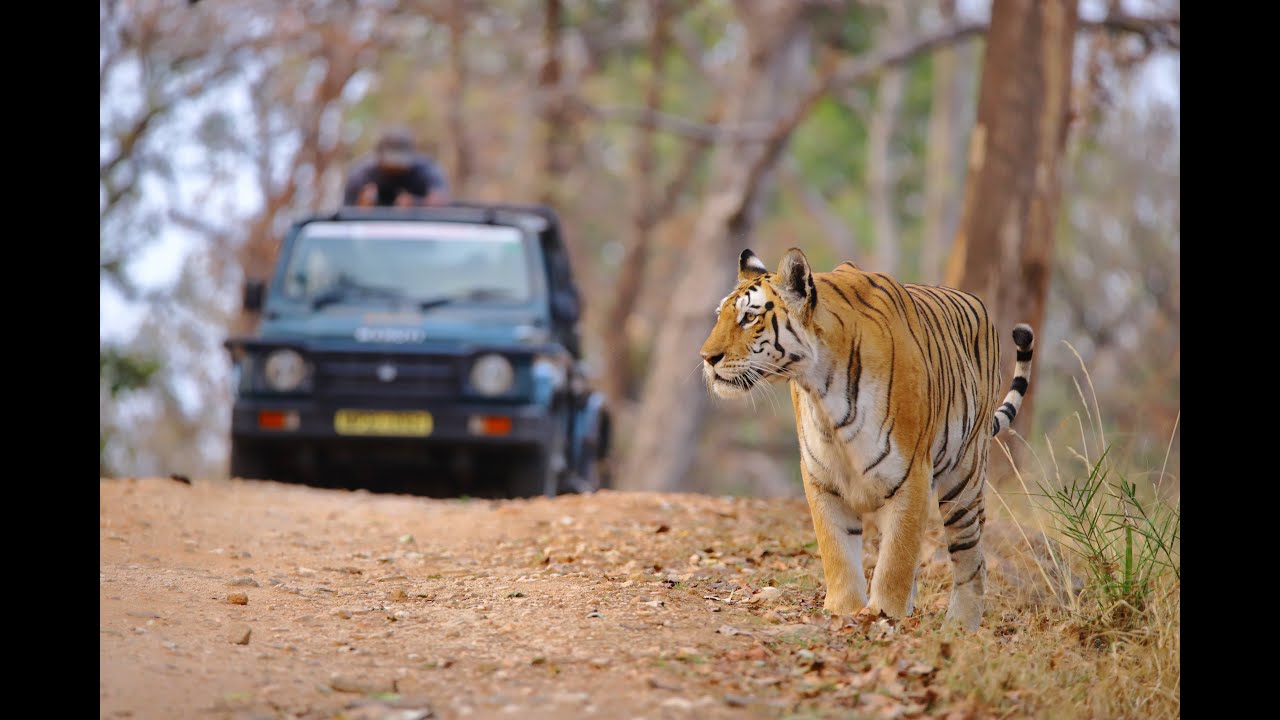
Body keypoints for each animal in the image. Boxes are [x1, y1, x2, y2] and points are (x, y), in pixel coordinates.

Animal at [698, 247, 1034, 630]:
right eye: (721, 316)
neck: (821, 391)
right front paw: (843, 610)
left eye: (749, 318)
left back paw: (961, 625)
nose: (707, 358)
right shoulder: (822, 478)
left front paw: (883, 614)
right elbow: (838, 550)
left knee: (970, 557)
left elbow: (896, 559)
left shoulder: (911, 475)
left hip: (965, 480)